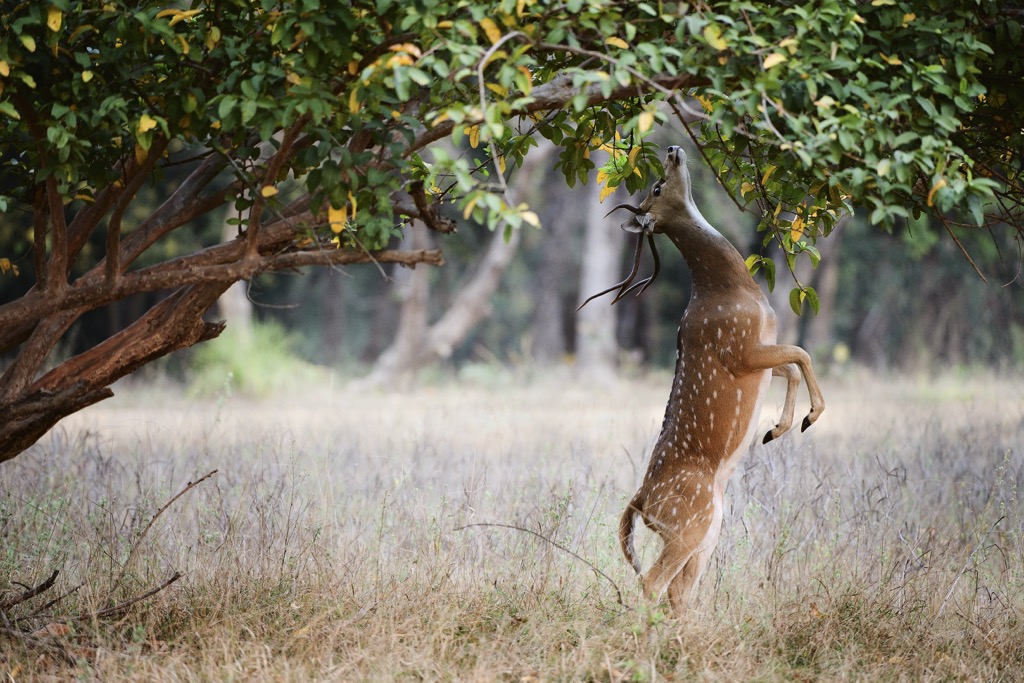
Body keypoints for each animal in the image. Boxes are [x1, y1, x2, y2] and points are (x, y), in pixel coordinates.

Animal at [581, 144, 825, 615]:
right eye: (657, 186)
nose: (673, 149)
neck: (733, 291)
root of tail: (640, 501)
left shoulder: (760, 349)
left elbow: (791, 364)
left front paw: (777, 428)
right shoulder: (739, 347)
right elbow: (802, 353)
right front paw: (808, 418)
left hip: (707, 530)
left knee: (679, 591)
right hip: (688, 523)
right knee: (652, 582)